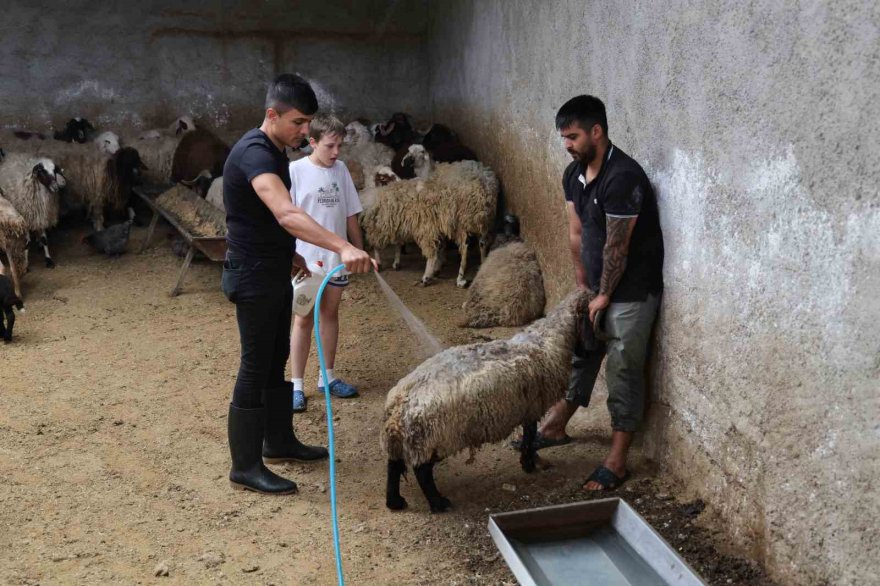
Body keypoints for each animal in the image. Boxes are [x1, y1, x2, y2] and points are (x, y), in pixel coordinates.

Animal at [358, 146, 496, 288]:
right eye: (383, 177)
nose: (402, 181)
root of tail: (480, 184)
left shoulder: (379, 224)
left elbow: (377, 245)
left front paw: (379, 263)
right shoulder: (396, 221)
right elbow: (398, 243)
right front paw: (396, 262)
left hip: (449, 223)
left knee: (456, 248)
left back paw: (444, 277)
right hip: (481, 217)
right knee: (482, 242)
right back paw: (480, 265)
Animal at [380, 288, 592, 512]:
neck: (549, 340)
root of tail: (399, 406)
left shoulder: (528, 407)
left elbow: (529, 434)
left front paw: (528, 461)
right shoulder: (532, 407)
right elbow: (530, 436)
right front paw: (528, 463)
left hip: (409, 440)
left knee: (393, 465)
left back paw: (394, 501)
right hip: (434, 437)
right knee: (422, 471)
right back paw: (438, 503)